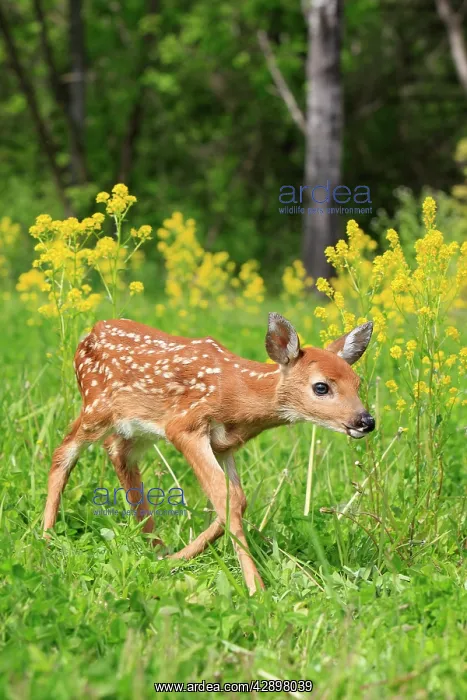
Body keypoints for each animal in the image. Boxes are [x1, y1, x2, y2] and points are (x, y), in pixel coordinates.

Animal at [43, 313, 375, 594]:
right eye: (321, 387)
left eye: (358, 383)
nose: (366, 421)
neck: (238, 396)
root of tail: (88, 333)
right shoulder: (185, 425)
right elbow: (223, 495)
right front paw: (256, 589)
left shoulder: (224, 445)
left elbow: (236, 499)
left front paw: (177, 558)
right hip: (96, 406)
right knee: (64, 450)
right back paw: (47, 535)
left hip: (136, 428)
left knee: (117, 452)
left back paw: (155, 547)